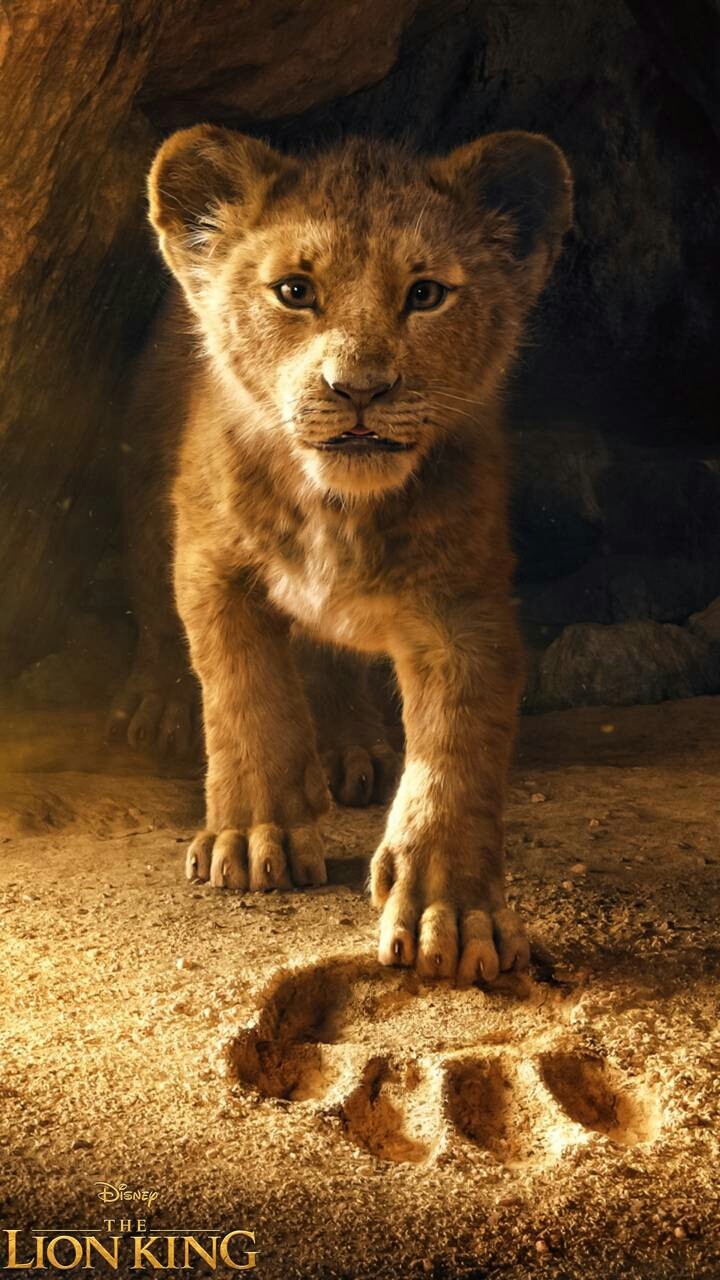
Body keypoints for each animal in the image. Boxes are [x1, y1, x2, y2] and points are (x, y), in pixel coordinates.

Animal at [109, 126, 572, 983]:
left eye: (426, 294)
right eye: (294, 290)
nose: (359, 388)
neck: (338, 507)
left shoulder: (465, 607)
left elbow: (457, 752)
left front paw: (451, 912)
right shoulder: (213, 563)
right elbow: (245, 695)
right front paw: (254, 837)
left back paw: (352, 747)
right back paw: (157, 705)